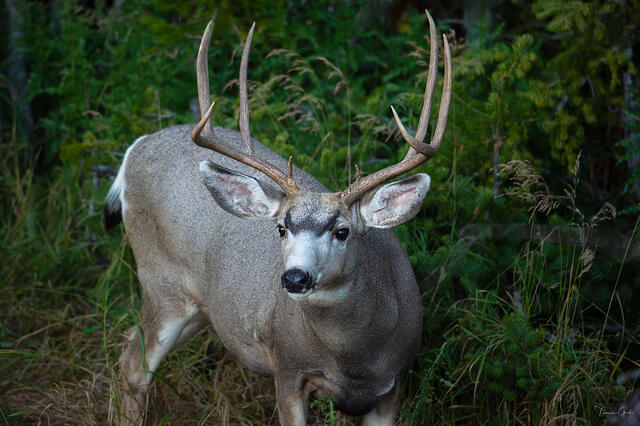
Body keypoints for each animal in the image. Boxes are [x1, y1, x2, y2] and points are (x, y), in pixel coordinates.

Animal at [105, 10, 451, 426]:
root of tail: (134, 148)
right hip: (161, 283)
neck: (355, 363)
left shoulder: (395, 383)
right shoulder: (287, 369)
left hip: (200, 309)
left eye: (343, 231)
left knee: (128, 344)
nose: (295, 277)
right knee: (134, 365)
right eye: (281, 227)